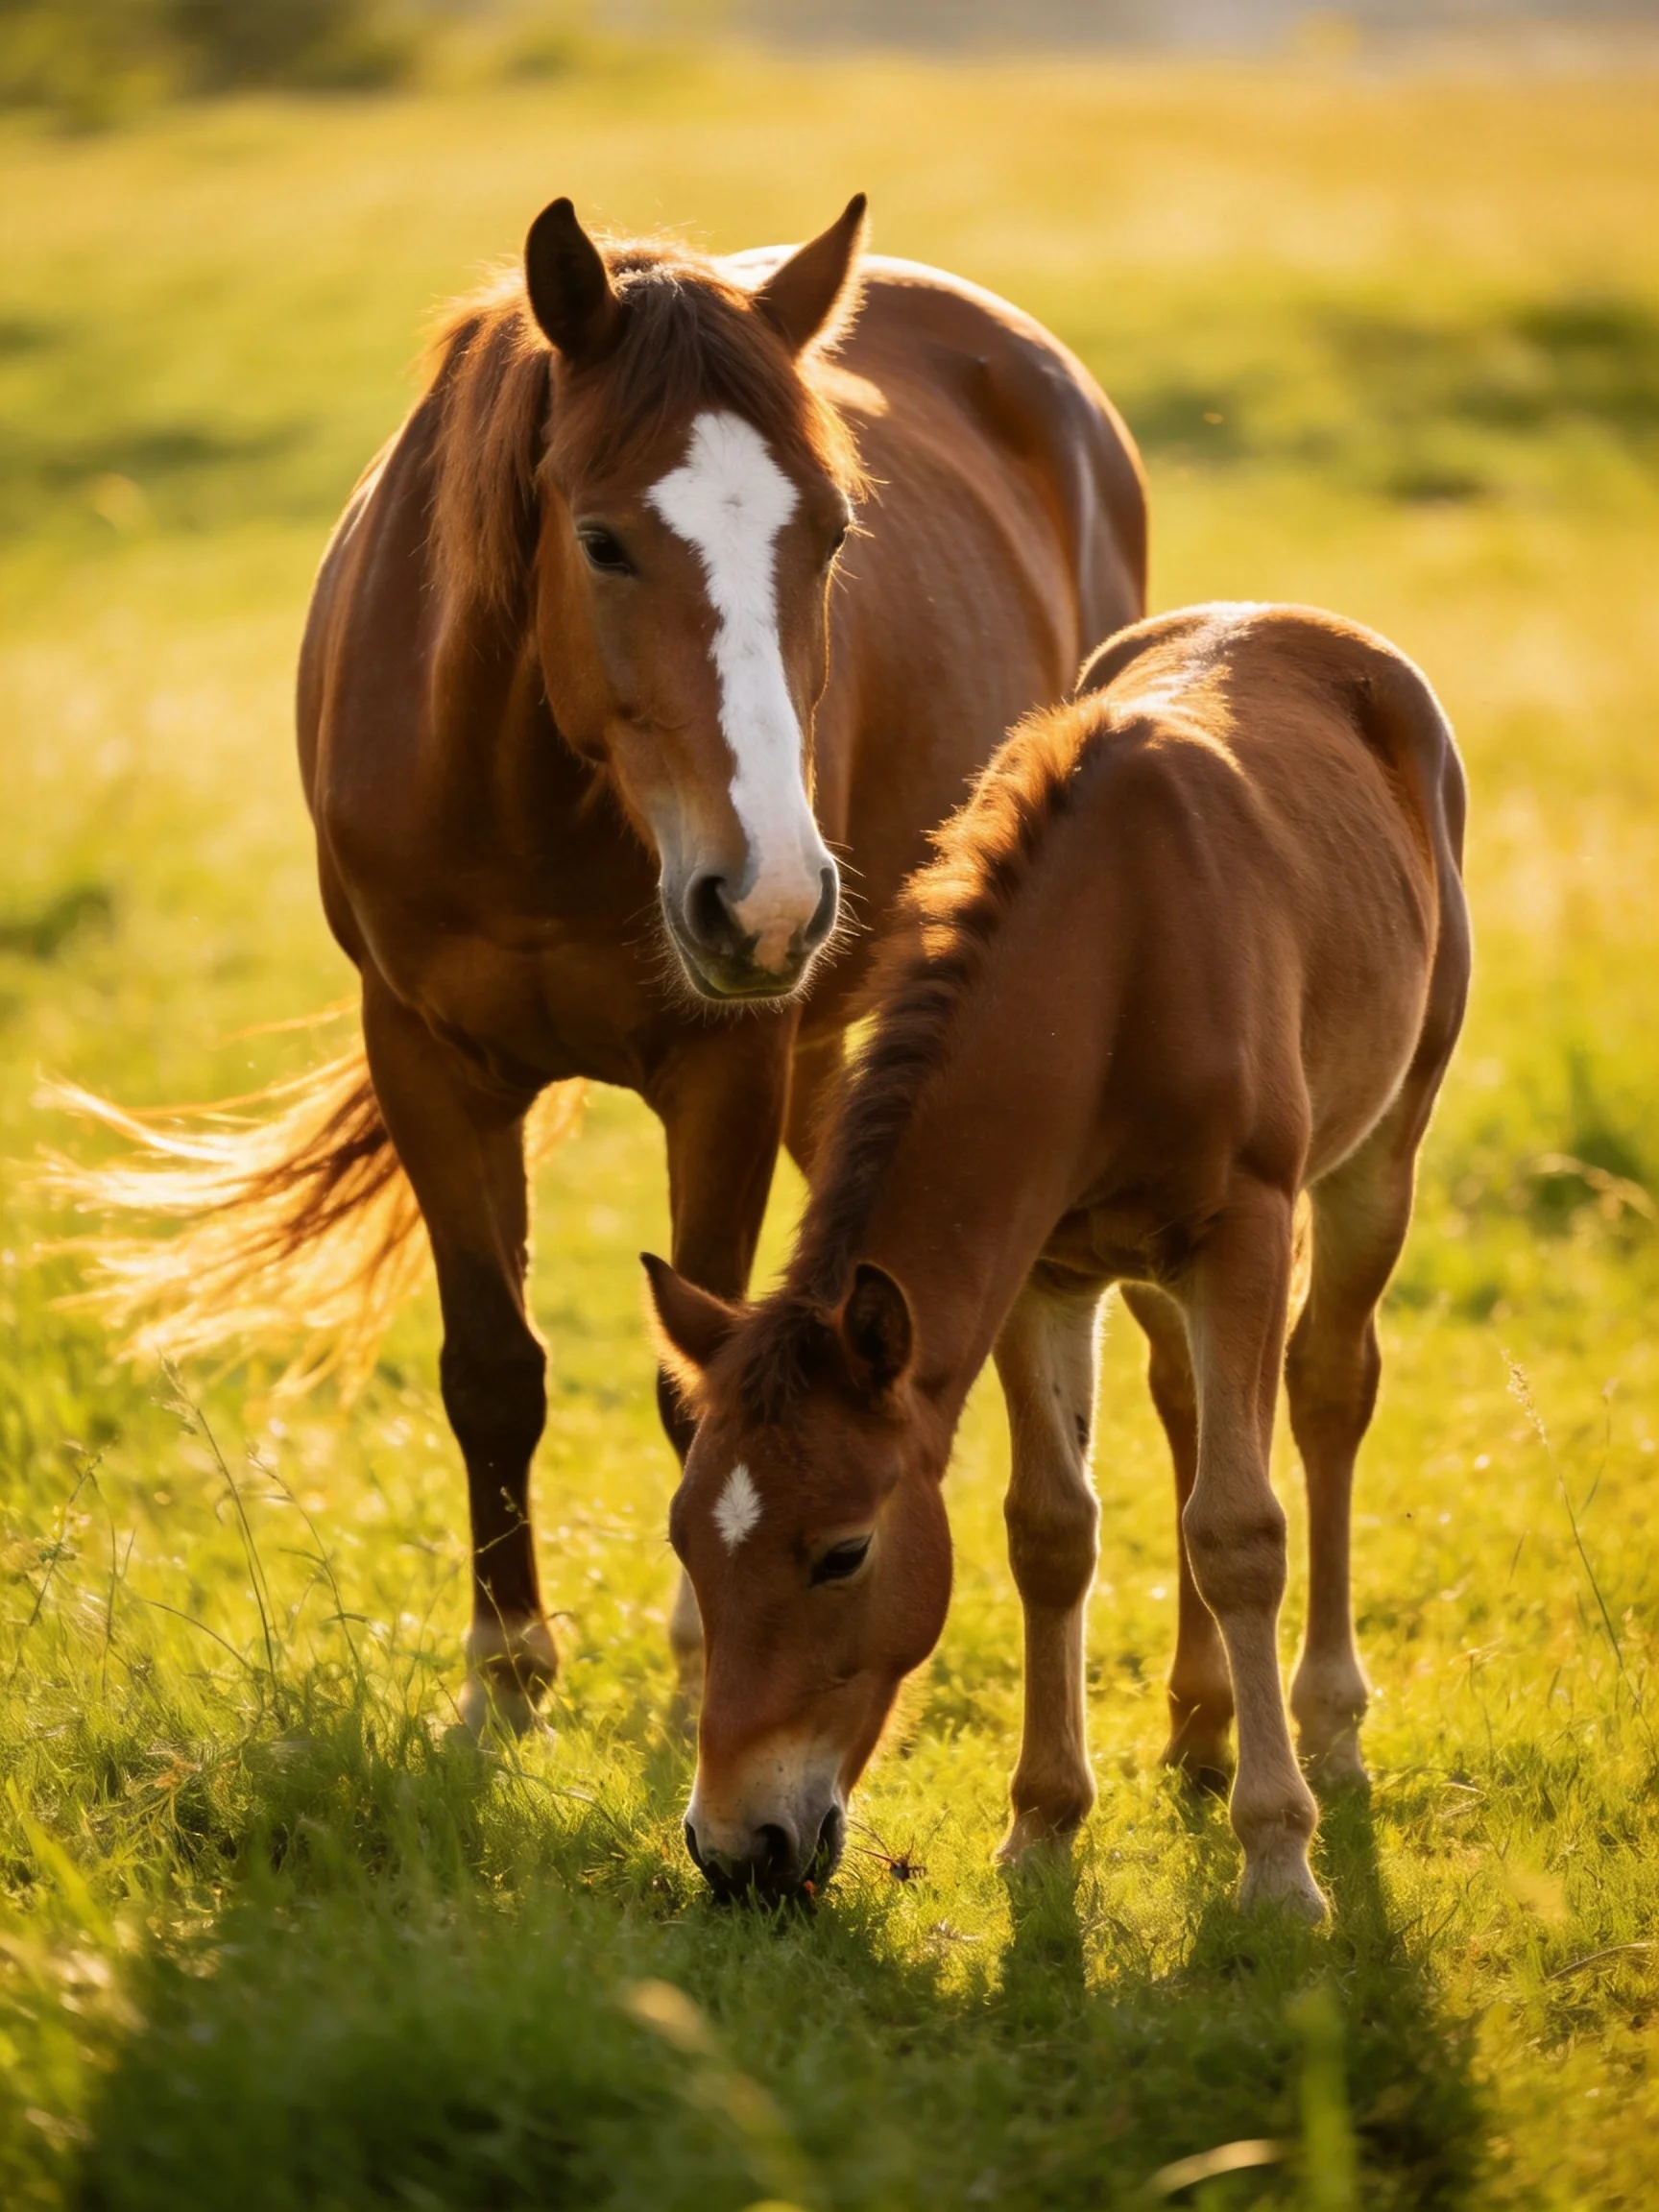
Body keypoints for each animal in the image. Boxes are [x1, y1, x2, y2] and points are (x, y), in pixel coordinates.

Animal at [60, 196, 1146, 1734]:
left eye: (834, 533)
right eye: (600, 540)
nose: (767, 899)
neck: (527, 799)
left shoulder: (727, 1071)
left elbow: (696, 1390)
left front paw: (697, 1663)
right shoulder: (429, 1063)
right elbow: (493, 1368)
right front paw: (507, 1671)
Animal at [645, 602, 1471, 1919]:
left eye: (843, 1552)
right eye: (684, 1540)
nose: (736, 1852)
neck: (1120, 957)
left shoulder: (1242, 1233)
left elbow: (1241, 1531)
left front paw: (1278, 1861)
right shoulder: (1042, 1271)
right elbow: (1051, 1531)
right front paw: (1040, 1826)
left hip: (1376, 1160)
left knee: (1329, 1391)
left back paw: (1327, 1726)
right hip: (1151, 1274)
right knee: (1187, 1404)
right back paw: (1201, 1724)